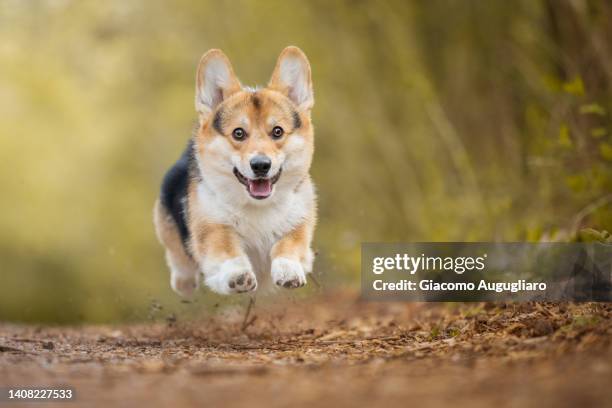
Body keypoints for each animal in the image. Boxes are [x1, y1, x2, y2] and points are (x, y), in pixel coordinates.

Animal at [153, 47, 318, 296]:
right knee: (179, 259)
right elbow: (227, 249)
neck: (258, 207)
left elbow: (289, 243)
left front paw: (288, 270)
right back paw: (185, 282)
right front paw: (237, 275)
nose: (261, 165)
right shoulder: (212, 226)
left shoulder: (299, 221)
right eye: (238, 133)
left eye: (277, 131)